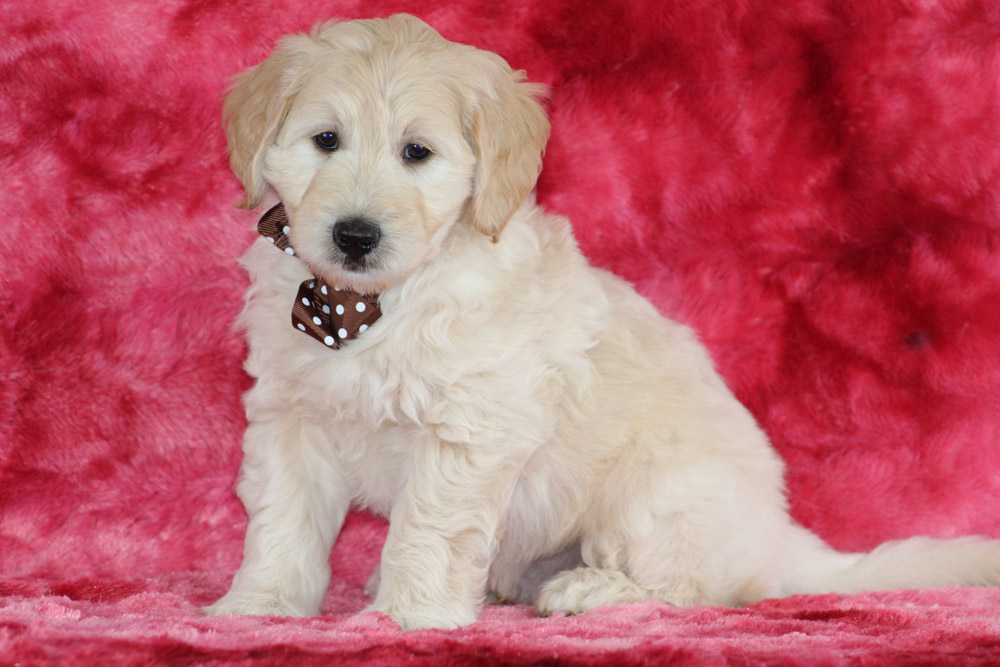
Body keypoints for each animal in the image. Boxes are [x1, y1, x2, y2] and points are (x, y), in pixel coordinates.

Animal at [206, 14, 1000, 630]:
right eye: (326, 140)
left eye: (417, 153)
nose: (355, 235)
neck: (365, 306)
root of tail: (777, 533)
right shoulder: (290, 416)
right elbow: (281, 522)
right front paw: (260, 605)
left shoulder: (470, 425)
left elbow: (427, 527)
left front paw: (407, 614)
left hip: (652, 495)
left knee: (706, 587)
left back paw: (590, 589)